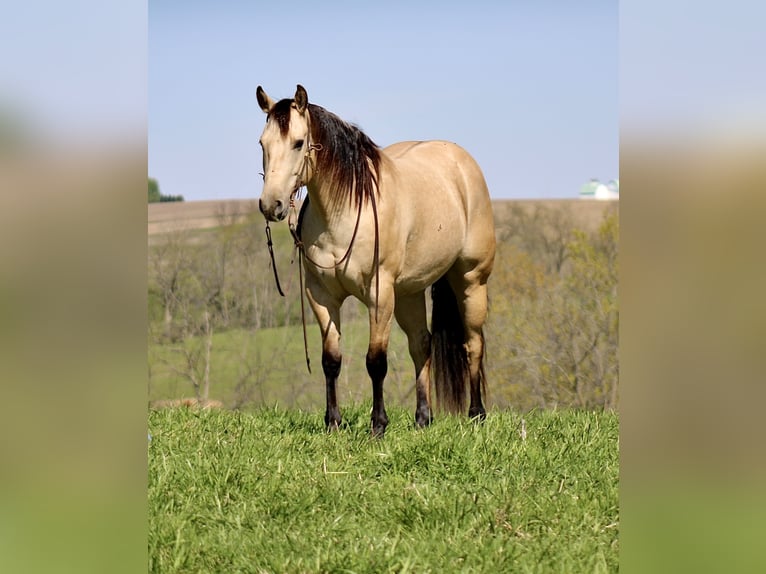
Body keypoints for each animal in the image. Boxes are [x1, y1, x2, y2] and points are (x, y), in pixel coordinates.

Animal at [256, 85, 495, 436]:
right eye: (263, 143)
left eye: (298, 142)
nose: (270, 204)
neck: (346, 210)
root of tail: (463, 164)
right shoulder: (321, 295)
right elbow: (331, 360)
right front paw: (333, 422)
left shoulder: (379, 294)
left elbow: (376, 361)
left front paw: (378, 425)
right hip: (409, 293)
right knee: (421, 344)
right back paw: (423, 418)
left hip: (471, 281)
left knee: (473, 343)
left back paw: (477, 414)